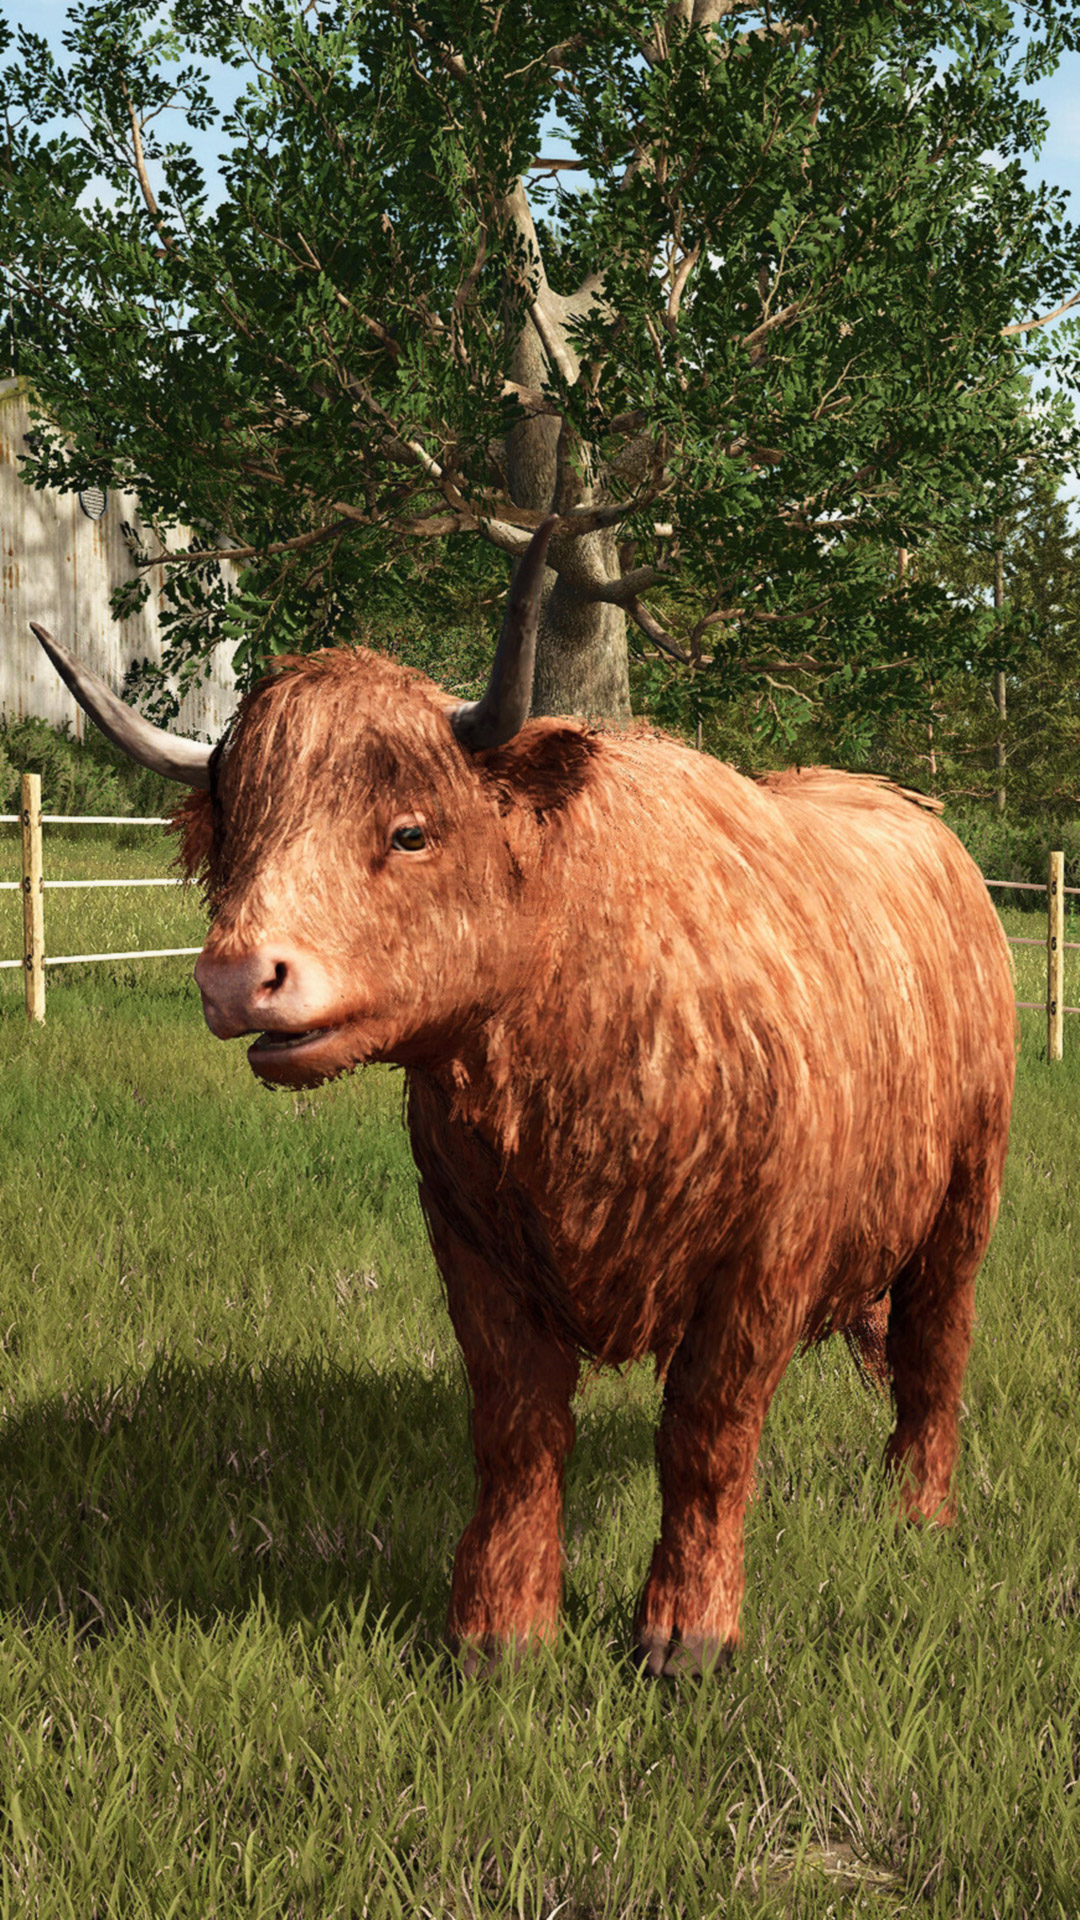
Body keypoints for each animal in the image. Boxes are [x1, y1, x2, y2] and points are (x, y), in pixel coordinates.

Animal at [30, 517, 1016, 1677]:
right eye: (238, 835)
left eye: (411, 830)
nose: (237, 977)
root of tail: (909, 812)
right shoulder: (475, 1251)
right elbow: (517, 1431)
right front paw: (499, 1631)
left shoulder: (762, 1263)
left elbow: (707, 1434)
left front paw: (688, 1631)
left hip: (967, 1197)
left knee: (936, 1346)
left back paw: (918, 1509)